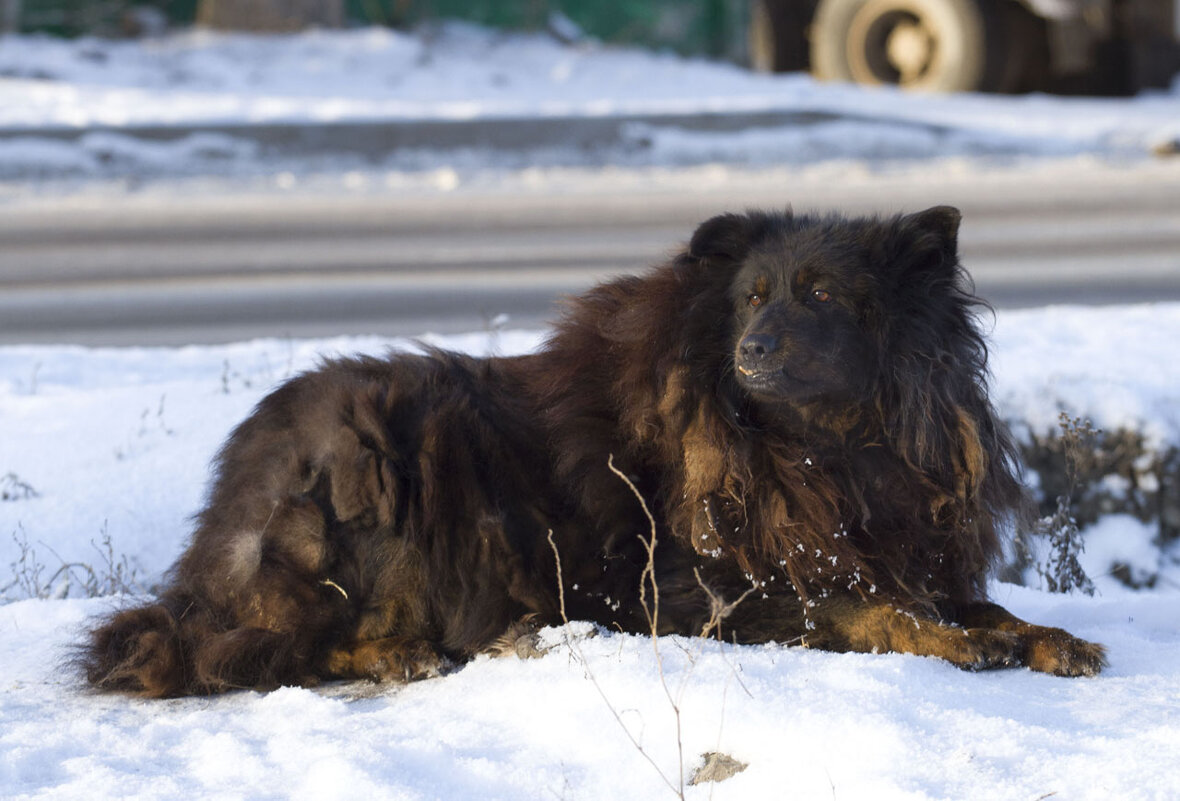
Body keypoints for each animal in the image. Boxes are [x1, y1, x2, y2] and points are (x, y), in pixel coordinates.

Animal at [83, 206, 1104, 693]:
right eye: (751, 297)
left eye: (821, 296)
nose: (750, 350)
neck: (821, 450)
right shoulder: (699, 588)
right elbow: (874, 611)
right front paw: (958, 643)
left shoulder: (896, 546)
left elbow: (978, 605)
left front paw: (1049, 637)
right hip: (371, 466)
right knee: (269, 646)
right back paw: (410, 653)